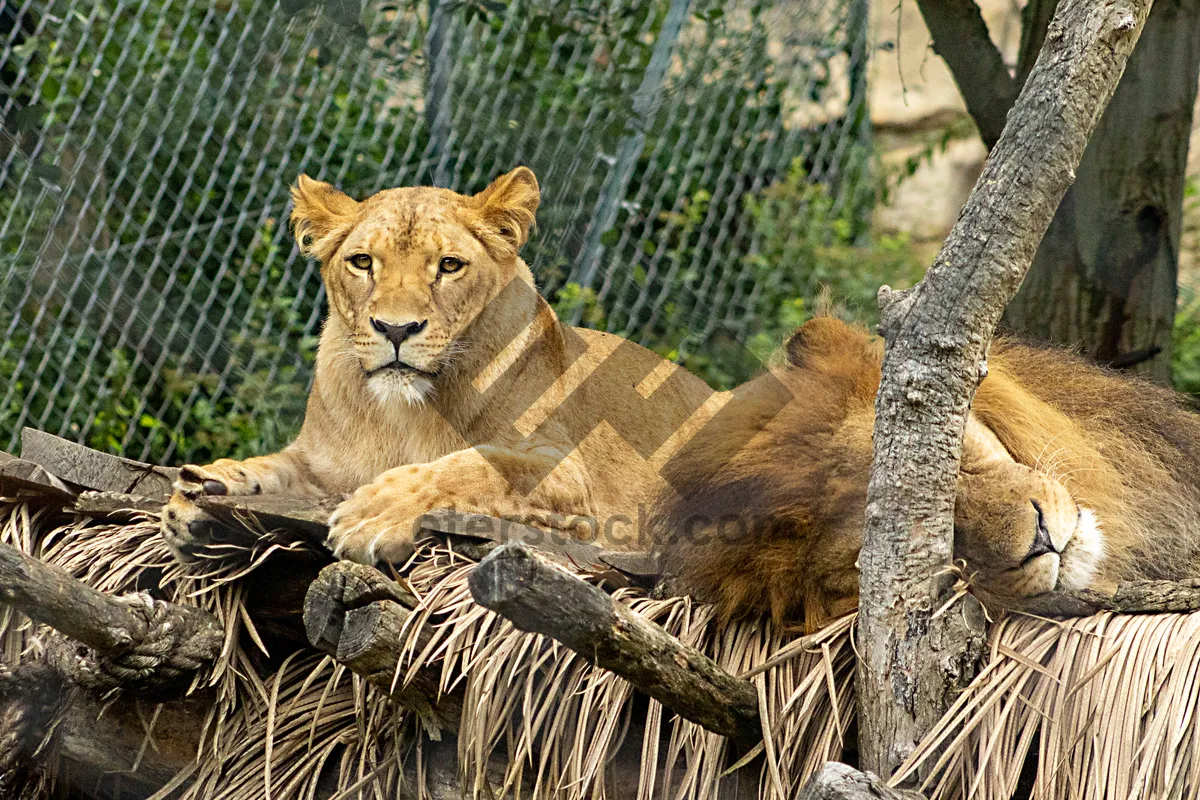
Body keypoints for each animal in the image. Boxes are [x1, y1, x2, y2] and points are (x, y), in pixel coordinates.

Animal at [159, 165, 710, 561]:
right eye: (363, 262)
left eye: (448, 265)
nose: (396, 329)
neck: (400, 412)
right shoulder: (320, 465)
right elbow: (273, 465)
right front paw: (203, 488)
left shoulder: (572, 475)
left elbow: (472, 466)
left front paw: (376, 513)